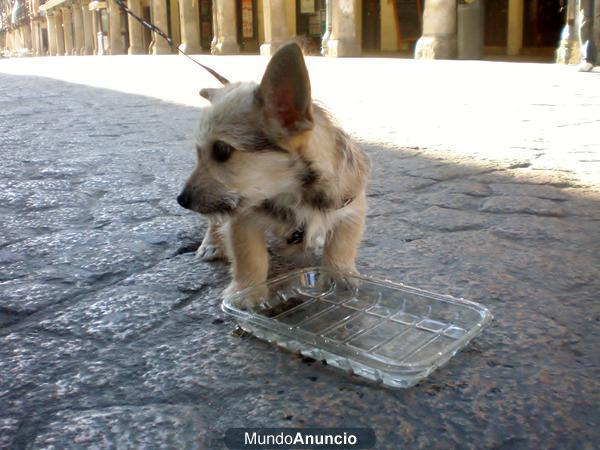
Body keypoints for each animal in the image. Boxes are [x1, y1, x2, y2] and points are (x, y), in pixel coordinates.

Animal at [176, 42, 368, 308]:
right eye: (199, 153)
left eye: (222, 150)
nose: (182, 200)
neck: (291, 191)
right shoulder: (243, 219)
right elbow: (250, 257)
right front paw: (246, 292)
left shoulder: (351, 207)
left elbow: (342, 244)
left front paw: (340, 275)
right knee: (214, 220)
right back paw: (211, 243)